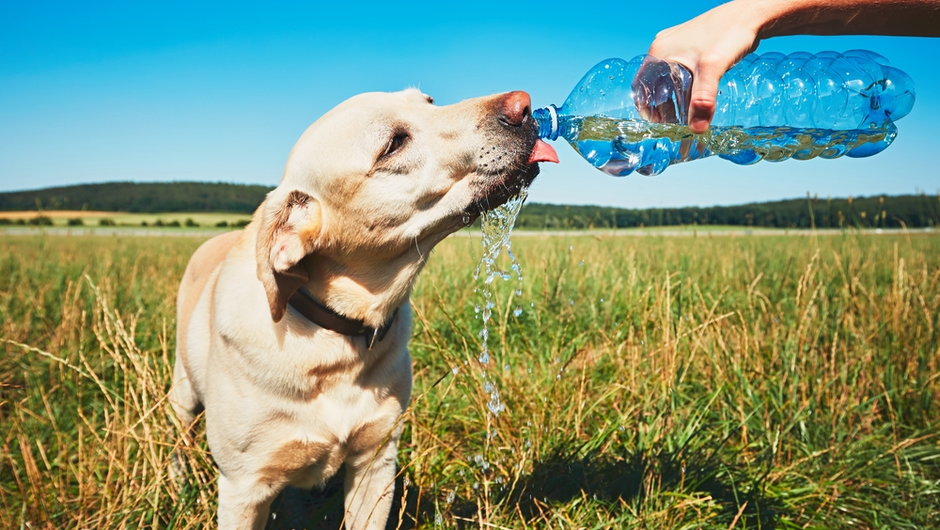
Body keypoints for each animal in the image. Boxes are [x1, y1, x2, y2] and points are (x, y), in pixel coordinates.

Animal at [170, 88, 560, 524]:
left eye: (429, 101)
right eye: (393, 144)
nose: (523, 104)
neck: (335, 339)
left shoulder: (376, 463)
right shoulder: (243, 488)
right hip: (182, 393)